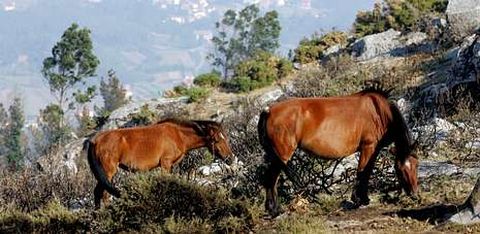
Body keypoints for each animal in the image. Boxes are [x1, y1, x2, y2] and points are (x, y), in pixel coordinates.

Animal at [85, 118, 233, 207]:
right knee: (104, 193)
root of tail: (94, 141)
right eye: (216, 140)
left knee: (97, 192)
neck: (178, 135)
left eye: (225, 137)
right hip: (108, 171)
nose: (230, 159)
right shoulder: (165, 164)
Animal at [256, 87, 418, 217]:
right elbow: (363, 172)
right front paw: (360, 199)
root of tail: (268, 111)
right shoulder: (369, 147)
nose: (415, 194)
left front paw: (362, 198)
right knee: (271, 179)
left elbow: (366, 171)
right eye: (400, 169)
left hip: (276, 156)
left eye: (416, 165)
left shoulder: (373, 149)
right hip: (283, 155)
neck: (378, 111)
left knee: (269, 178)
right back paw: (275, 210)